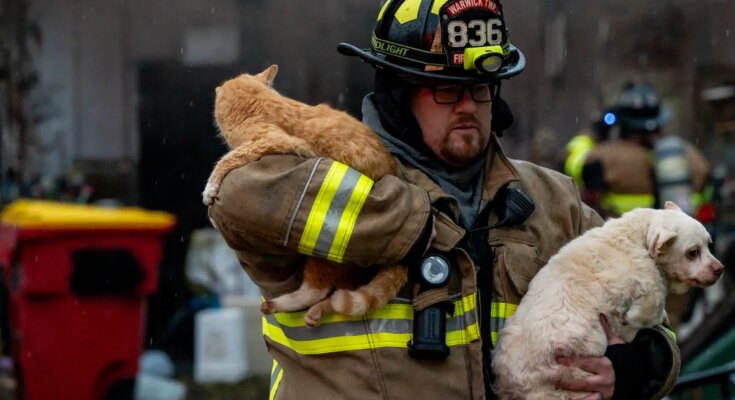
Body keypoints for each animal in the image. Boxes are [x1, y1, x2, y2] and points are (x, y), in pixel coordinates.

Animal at [203, 64, 406, 327]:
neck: (261, 102)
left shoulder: (269, 140)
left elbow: (227, 159)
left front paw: (210, 188)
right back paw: (317, 311)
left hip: (325, 251)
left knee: (317, 290)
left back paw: (282, 304)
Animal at [491, 201, 724, 400]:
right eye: (692, 252)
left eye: (709, 244)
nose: (719, 269)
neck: (638, 236)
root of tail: (512, 384)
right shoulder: (647, 287)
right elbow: (644, 313)